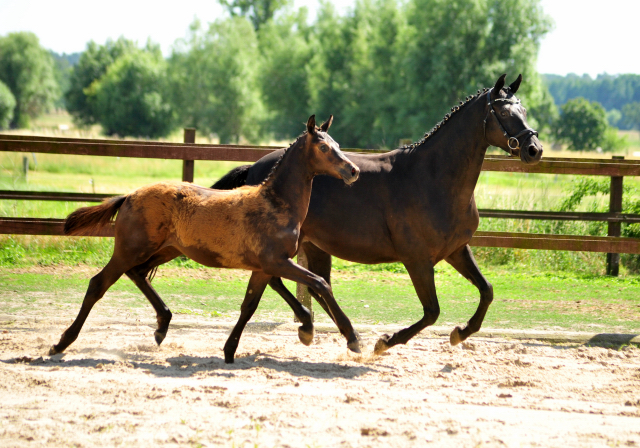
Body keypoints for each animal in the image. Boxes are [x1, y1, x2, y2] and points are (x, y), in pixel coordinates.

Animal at [50, 114, 360, 362]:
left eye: (338, 144)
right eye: (323, 147)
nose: (353, 170)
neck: (276, 203)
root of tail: (129, 196)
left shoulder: (264, 267)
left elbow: (249, 306)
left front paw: (231, 350)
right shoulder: (276, 261)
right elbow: (320, 283)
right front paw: (352, 338)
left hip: (166, 250)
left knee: (137, 273)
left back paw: (162, 325)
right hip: (130, 249)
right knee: (98, 284)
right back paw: (61, 343)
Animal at [214, 73, 540, 354]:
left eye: (523, 108)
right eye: (503, 112)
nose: (534, 149)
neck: (434, 178)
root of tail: (256, 168)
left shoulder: (457, 250)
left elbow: (487, 290)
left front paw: (460, 333)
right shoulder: (417, 260)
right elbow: (432, 311)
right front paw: (385, 342)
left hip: (314, 245)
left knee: (310, 284)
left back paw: (323, 330)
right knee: (286, 281)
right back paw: (320, 329)